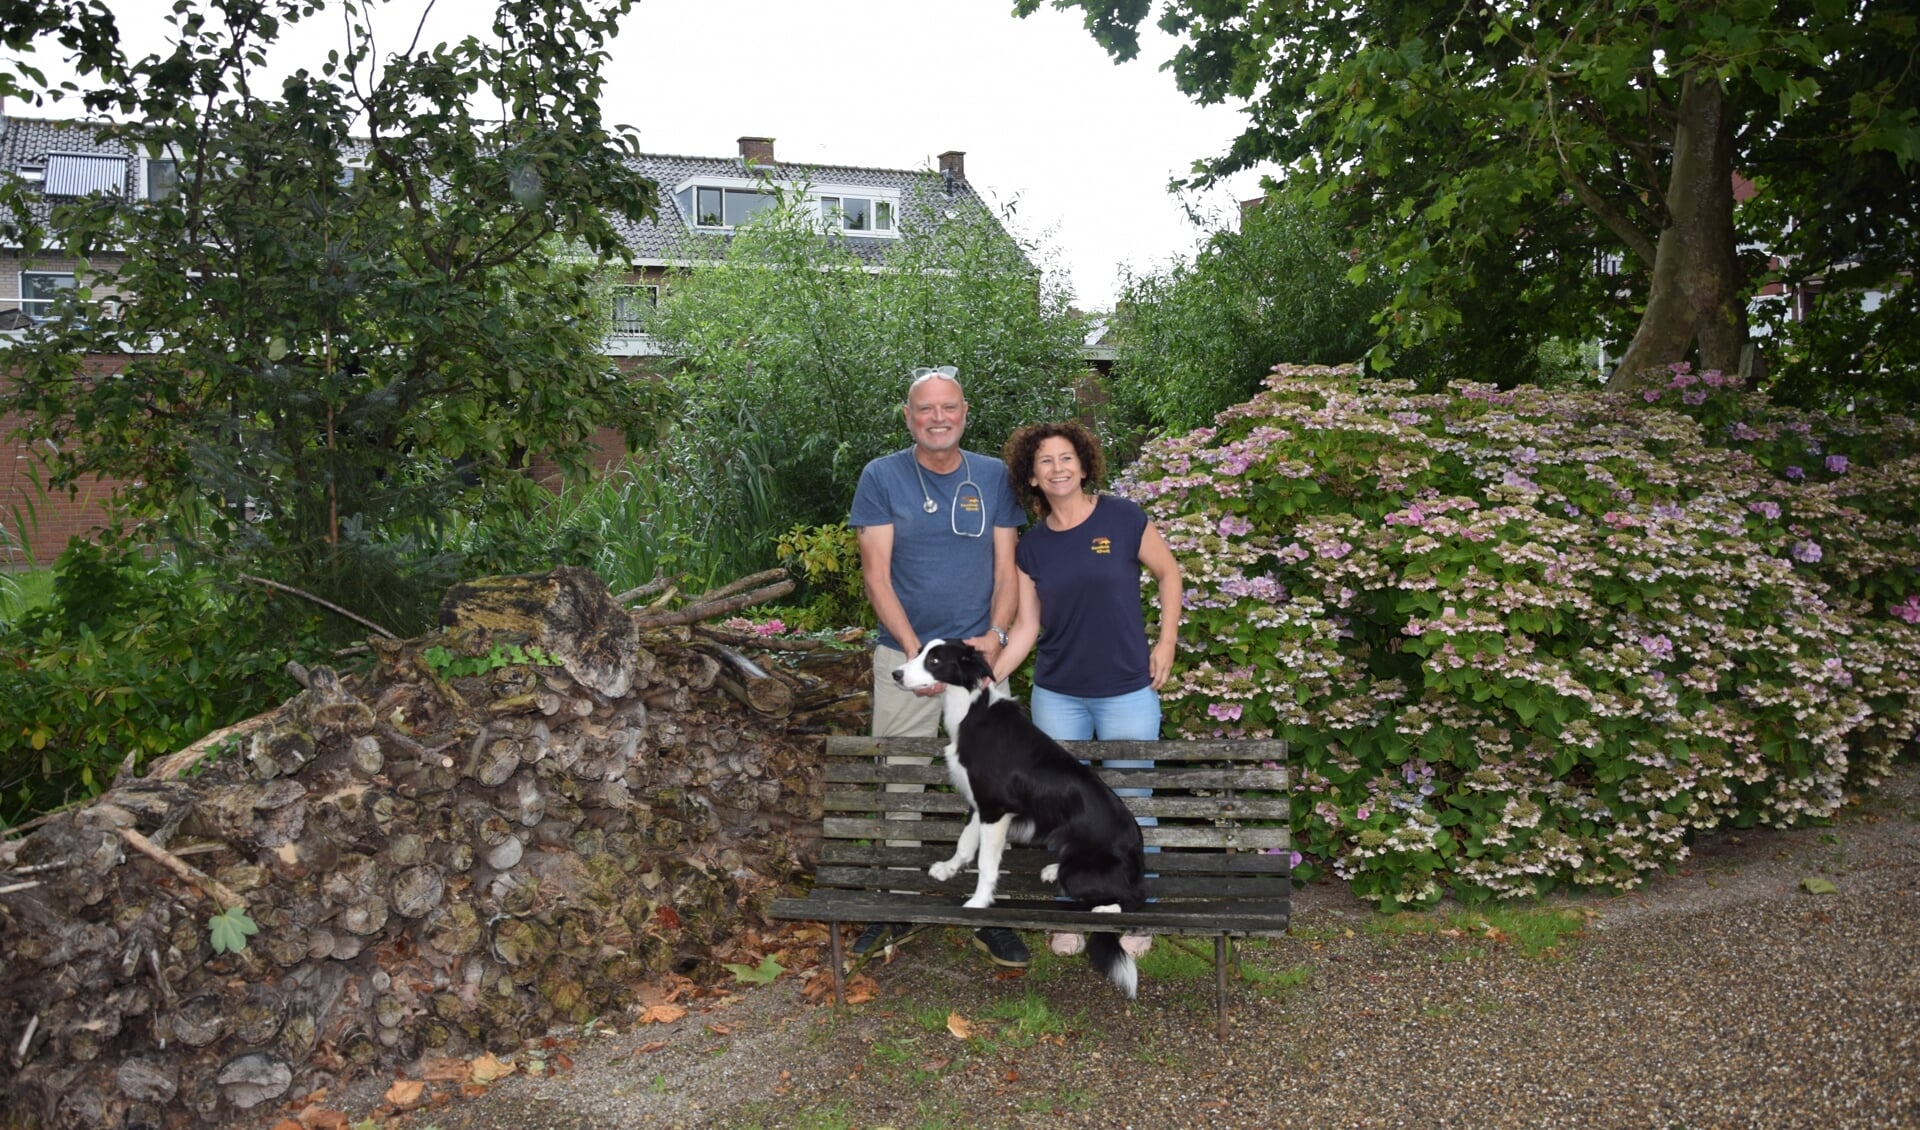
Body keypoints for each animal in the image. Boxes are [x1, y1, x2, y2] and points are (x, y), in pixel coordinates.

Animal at [890, 640, 1144, 989]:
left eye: (935, 660)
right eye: (918, 652)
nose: (896, 674)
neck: (970, 708)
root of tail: (1138, 859)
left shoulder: (996, 809)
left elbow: (986, 864)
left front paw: (979, 902)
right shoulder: (979, 804)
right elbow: (965, 843)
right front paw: (948, 869)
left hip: (1083, 875)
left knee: (1133, 899)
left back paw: (1105, 909)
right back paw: (1053, 869)